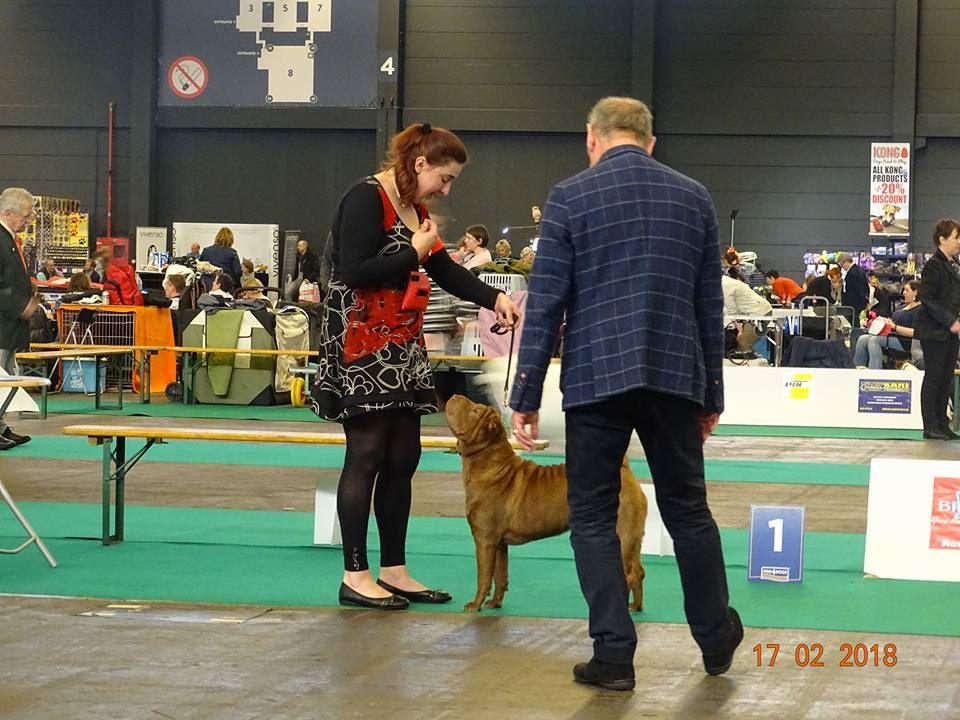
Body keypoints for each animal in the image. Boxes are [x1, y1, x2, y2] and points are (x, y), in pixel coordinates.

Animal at [444, 396, 644, 612]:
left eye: (475, 411)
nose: (455, 396)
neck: (492, 464)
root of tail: (624, 468)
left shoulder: (485, 541)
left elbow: (484, 576)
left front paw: (475, 605)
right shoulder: (498, 544)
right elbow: (500, 574)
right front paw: (495, 603)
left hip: (622, 537)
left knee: (628, 575)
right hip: (633, 538)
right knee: (639, 571)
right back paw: (635, 606)